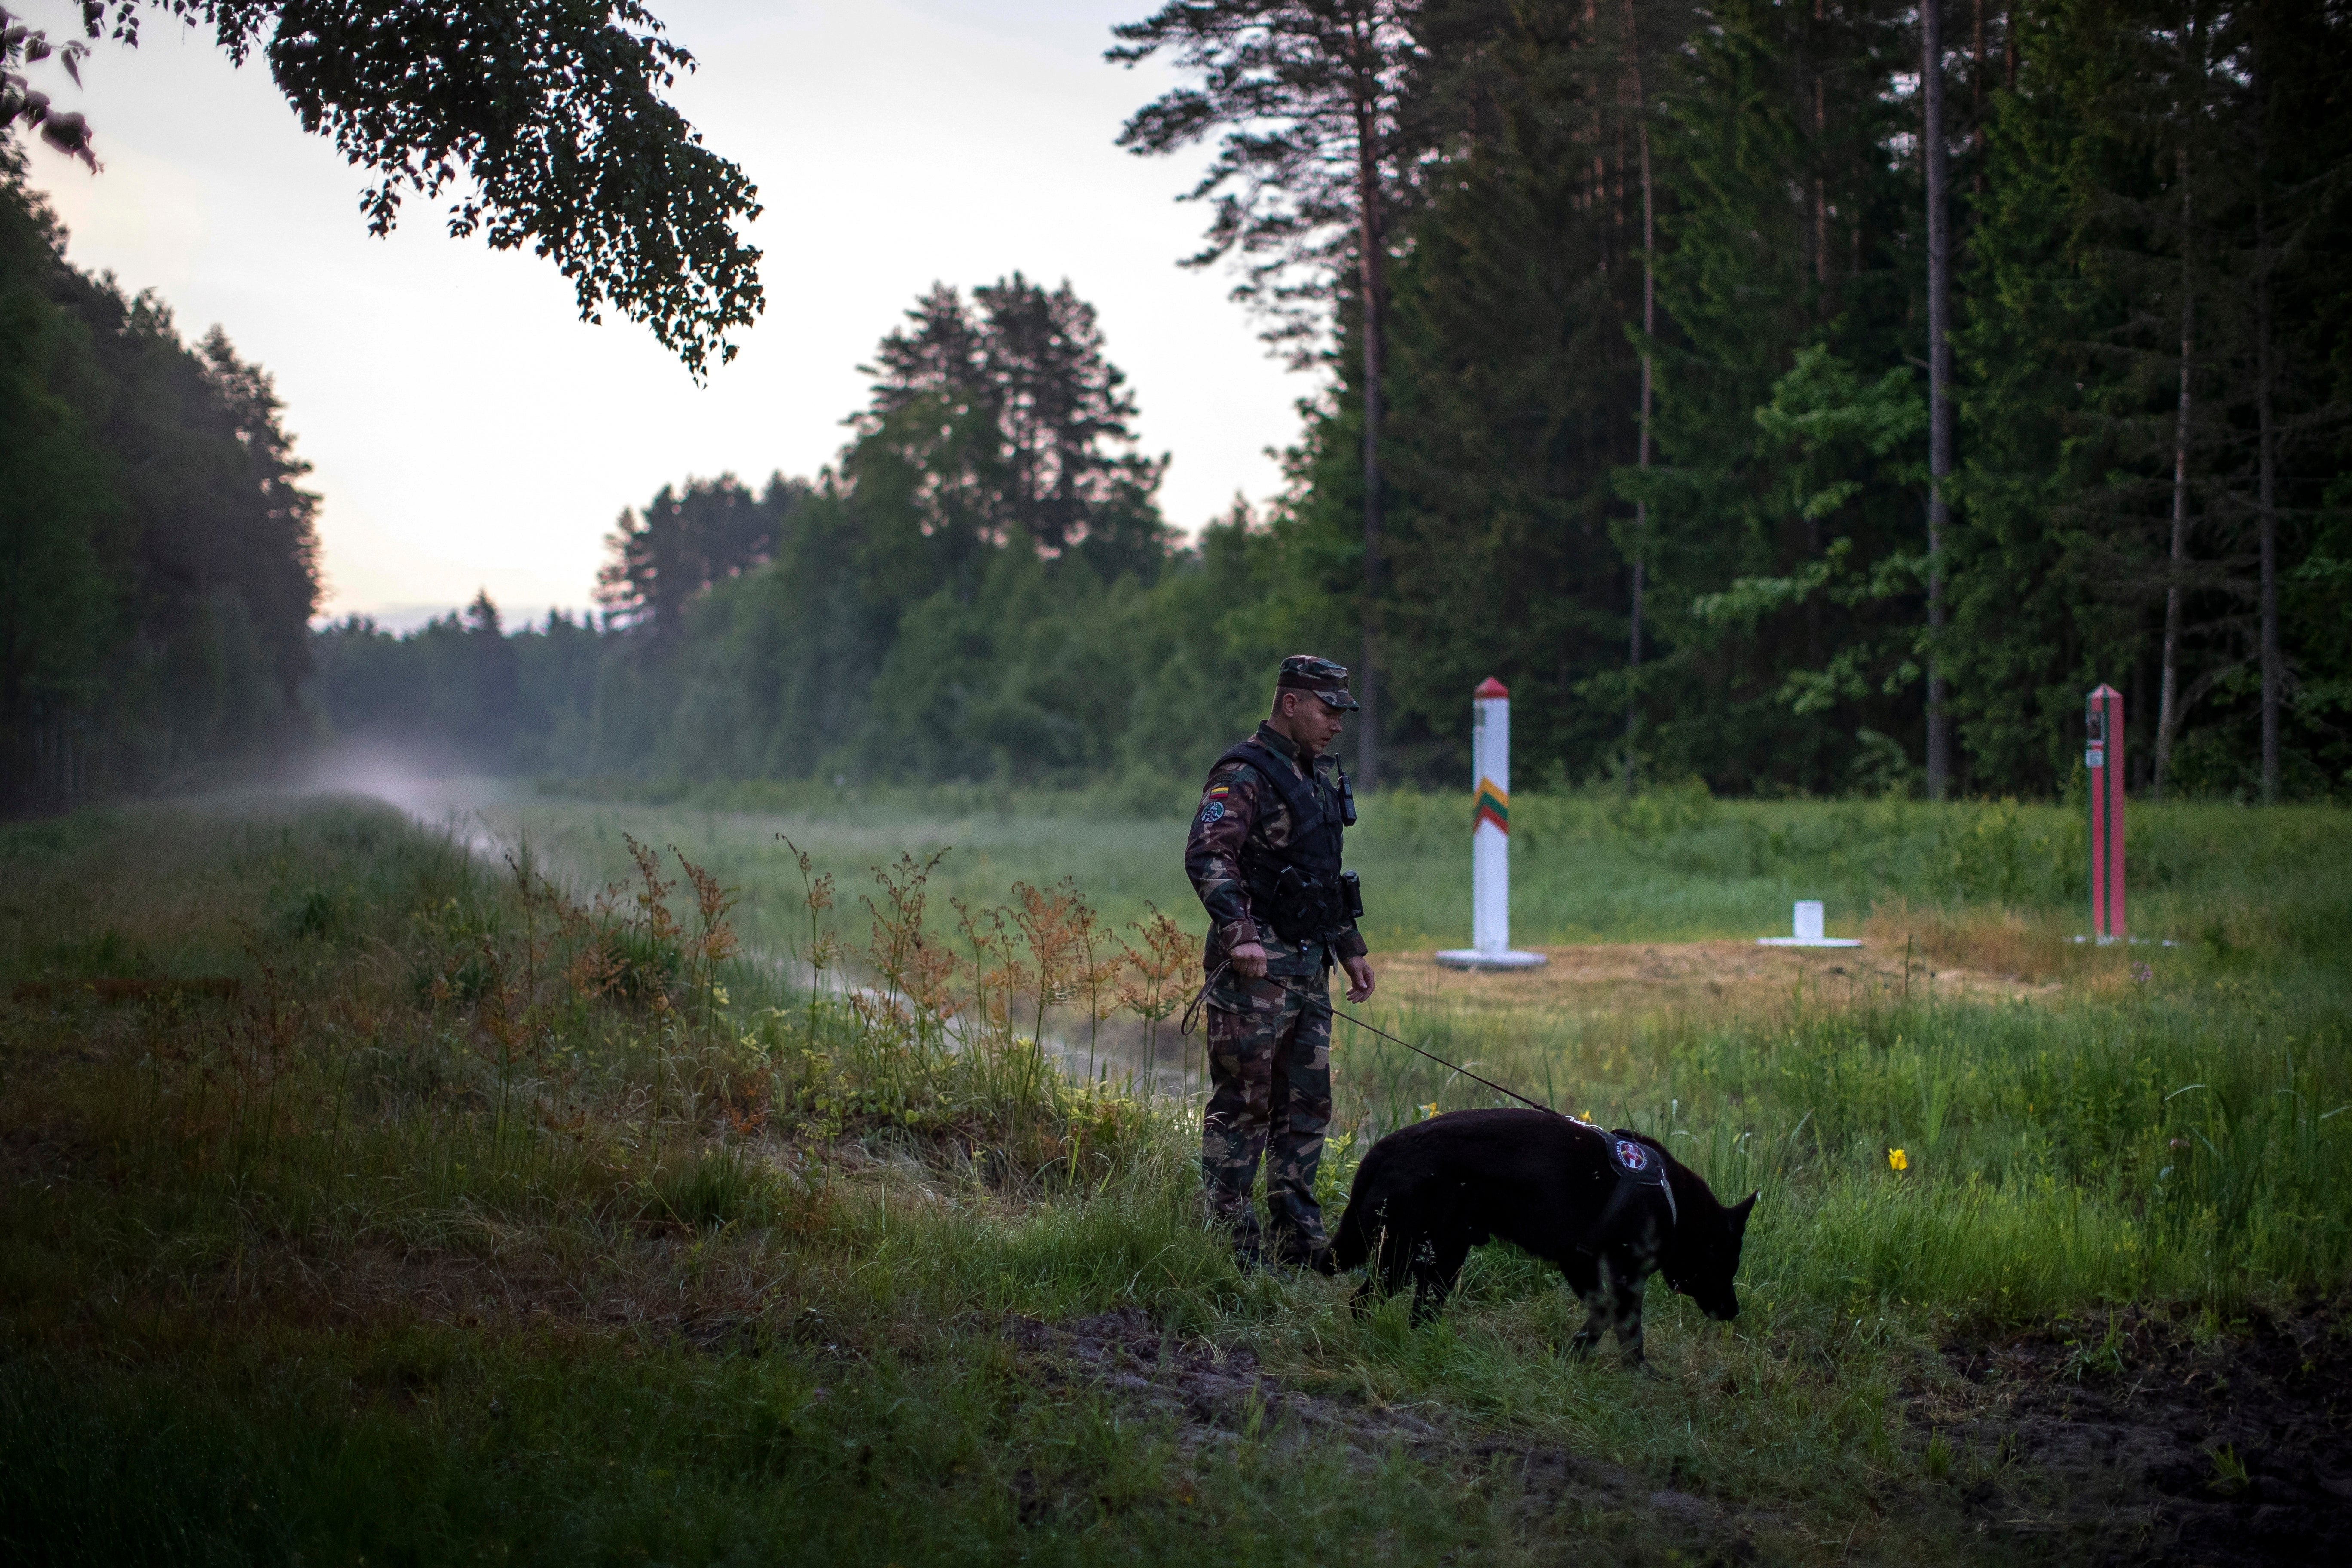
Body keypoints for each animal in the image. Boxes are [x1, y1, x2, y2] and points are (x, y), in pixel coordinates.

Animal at [1336, 1105, 1759, 1373]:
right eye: (1728, 1265)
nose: (1734, 1311)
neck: (1673, 1202)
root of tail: (1384, 1147)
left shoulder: (1588, 1265)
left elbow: (1606, 1314)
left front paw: (1579, 1353)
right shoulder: (1611, 1271)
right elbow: (1624, 1324)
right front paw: (1636, 1372)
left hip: (1443, 1257)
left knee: (1414, 1310)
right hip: (1404, 1254)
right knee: (1365, 1301)